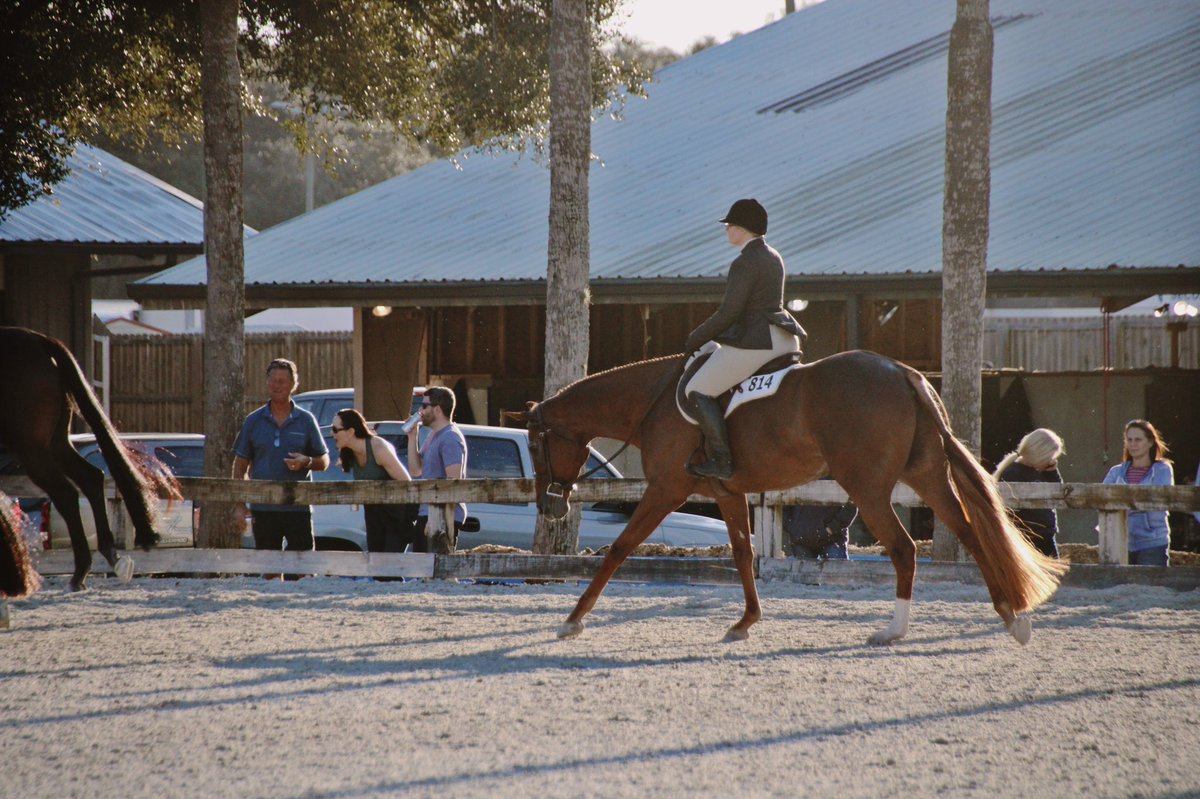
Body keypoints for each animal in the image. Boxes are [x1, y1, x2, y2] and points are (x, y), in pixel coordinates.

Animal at [0, 327, 177, 591]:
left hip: (33, 450)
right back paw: (108, 557)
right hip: (56, 443)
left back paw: (82, 570)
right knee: (91, 478)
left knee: (66, 493)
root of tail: (41, 340)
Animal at [507, 349, 1068, 645]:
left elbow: (620, 549)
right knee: (972, 535)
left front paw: (572, 620)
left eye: (535, 444)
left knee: (905, 548)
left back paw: (893, 630)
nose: (549, 506)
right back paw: (1012, 617)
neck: (654, 402)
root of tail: (902, 373)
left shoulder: (668, 489)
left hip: (867, 487)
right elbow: (742, 553)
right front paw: (745, 622)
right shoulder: (726, 491)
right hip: (928, 476)